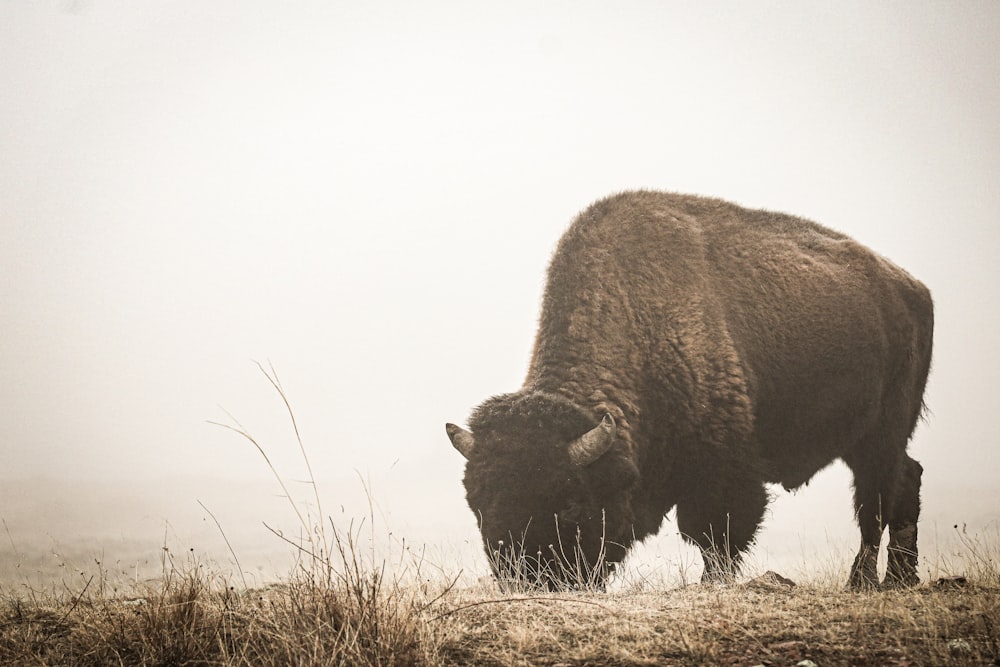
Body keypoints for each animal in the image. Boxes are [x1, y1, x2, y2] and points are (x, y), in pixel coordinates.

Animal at [446, 190, 928, 592]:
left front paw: (712, 584)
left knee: (875, 503)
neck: (638, 321)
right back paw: (900, 579)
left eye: (570, 504)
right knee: (907, 480)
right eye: (478, 504)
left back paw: (863, 581)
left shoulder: (722, 470)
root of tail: (911, 287)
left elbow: (716, 533)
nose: (528, 580)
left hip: (880, 435)